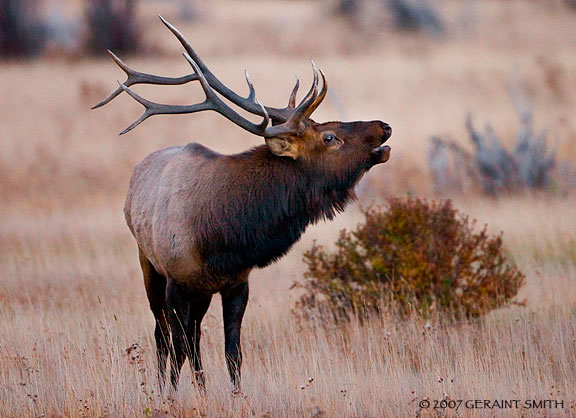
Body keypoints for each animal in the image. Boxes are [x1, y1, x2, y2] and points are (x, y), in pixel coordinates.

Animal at [93, 15, 392, 388]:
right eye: (330, 136)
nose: (384, 126)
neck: (223, 236)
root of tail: (136, 176)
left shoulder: (237, 282)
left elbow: (232, 354)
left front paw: (233, 394)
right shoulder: (177, 279)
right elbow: (176, 348)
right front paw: (170, 394)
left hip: (201, 291)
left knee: (193, 337)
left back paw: (202, 387)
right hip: (148, 264)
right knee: (164, 336)